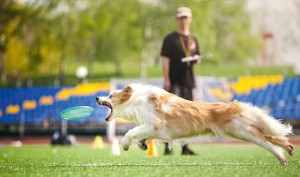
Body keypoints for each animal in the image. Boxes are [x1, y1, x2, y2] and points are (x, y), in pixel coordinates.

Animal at [96, 83, 292, 165]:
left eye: (111, 95)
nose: (97, 97)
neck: (137, 101)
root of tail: (233, 106)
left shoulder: (155, 124)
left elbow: (131, 132)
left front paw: (125, 145)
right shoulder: (155, 130)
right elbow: (140, 135)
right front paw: (142, 145)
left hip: (243, 132)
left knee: (267, 141)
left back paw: (283, 157)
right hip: (241, 132)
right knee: (273, 137)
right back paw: (289, 150)